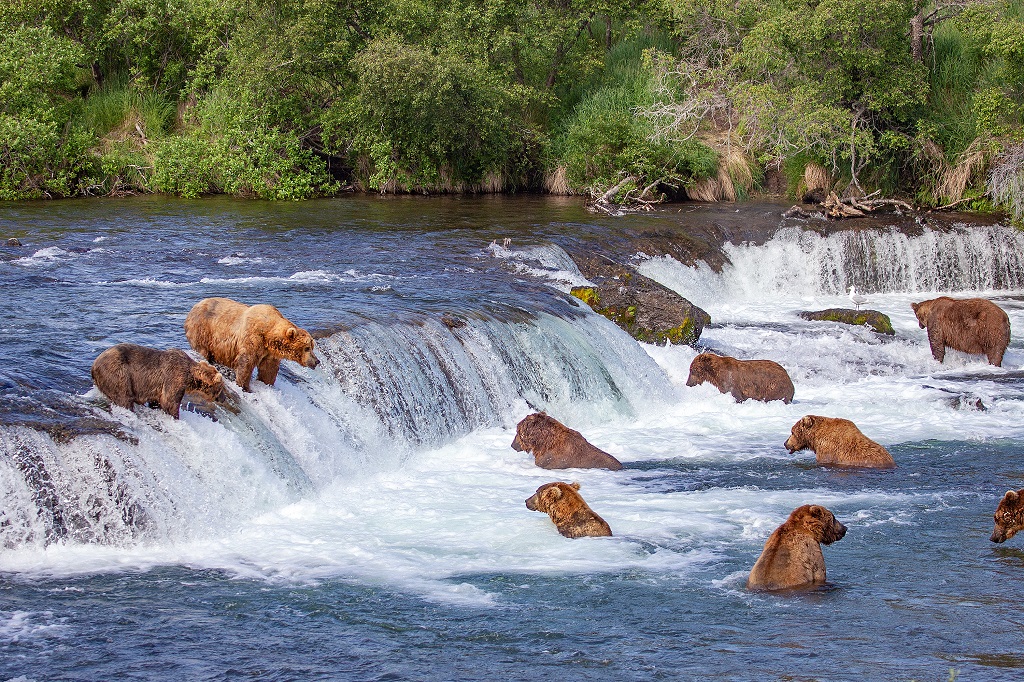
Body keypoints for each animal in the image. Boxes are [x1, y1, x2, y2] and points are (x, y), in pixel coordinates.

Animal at [91, 342, 225, 417]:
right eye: (221, 388)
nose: (223, 399)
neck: (190, 376)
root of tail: (93, 366)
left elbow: (157, 401)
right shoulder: (174, 377)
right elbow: (169, 402)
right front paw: (175, 416)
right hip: (118, 372)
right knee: (123, 396)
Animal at [184, 294, 317, 391]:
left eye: (312, 346)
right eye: (307, 348)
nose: (316, 361)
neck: (268, 335)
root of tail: (193, 307)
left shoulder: (269, 353)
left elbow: (268, 369)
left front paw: (267, 383)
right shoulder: (252, 338)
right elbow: (246, 363)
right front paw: (244, 386)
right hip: (203, 331)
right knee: (202, 349)